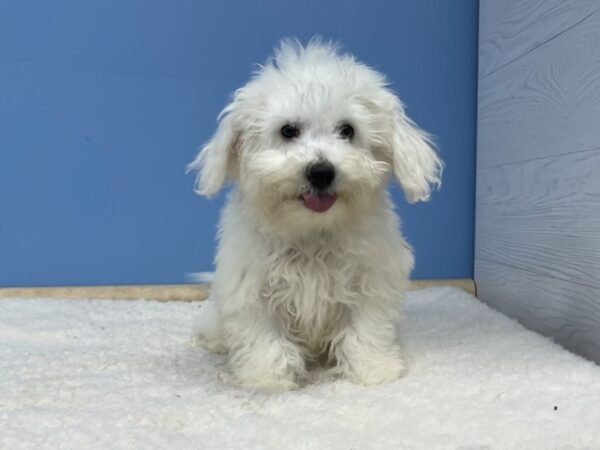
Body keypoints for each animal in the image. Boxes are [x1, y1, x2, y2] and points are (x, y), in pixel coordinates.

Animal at [190, 39, 442, 390]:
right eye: (288, 131)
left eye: (347, 130)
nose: (321, 171)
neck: (312, 232)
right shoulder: (252, 288)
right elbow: (265, 338)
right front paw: (266, 380)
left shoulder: (371, 281)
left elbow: (366, 329)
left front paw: (373, 371)